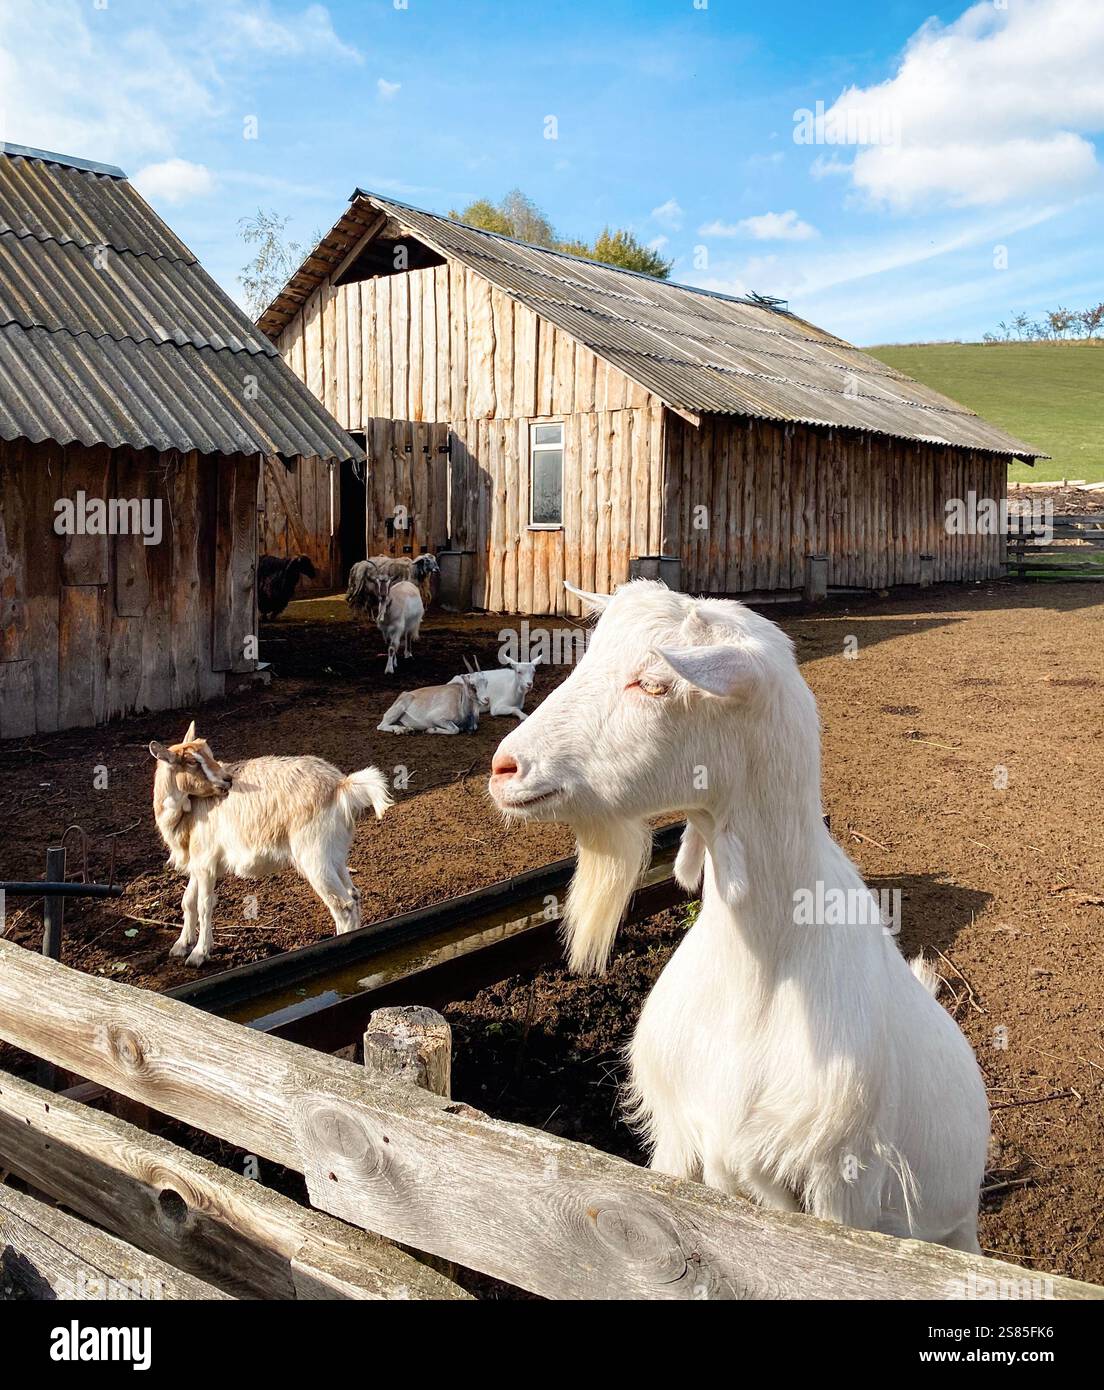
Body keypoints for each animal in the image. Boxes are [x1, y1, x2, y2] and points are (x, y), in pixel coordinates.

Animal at [150, 721, 391, 967]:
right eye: (191, 761)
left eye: (209, 753)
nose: (227, 780)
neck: (186, 814)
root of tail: (341, 785)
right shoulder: (198, 864)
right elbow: (187, 901)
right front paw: (181, 945)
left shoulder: (206, 862)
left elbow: (204, 905)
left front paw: (199, 954)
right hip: (335, 853)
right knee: (354, 894)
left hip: (313, 856)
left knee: (343, 906)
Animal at [488, 579, 989, 1251]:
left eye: (655, 684)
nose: (504, 768)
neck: (761, 970)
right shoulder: (685, 1143)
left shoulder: (841, 1183)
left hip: (956, 1224)